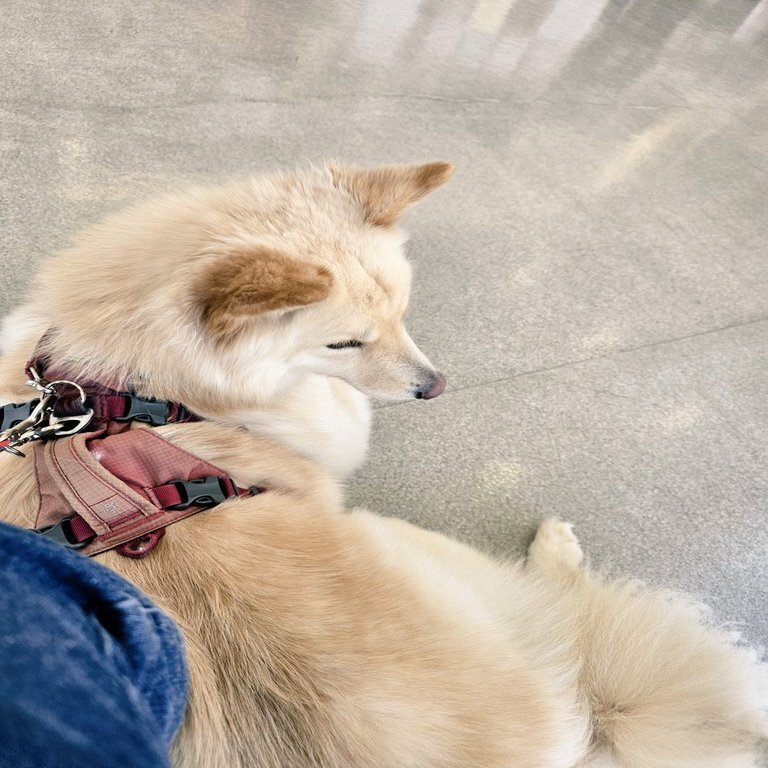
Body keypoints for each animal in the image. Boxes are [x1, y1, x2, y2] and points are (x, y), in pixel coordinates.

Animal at [0, 163, 766, 767]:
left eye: (403, 311)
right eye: (343, 343)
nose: (434, 386)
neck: (122, 385)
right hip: (415, 547)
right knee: (564, 608)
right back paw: (556, 552)